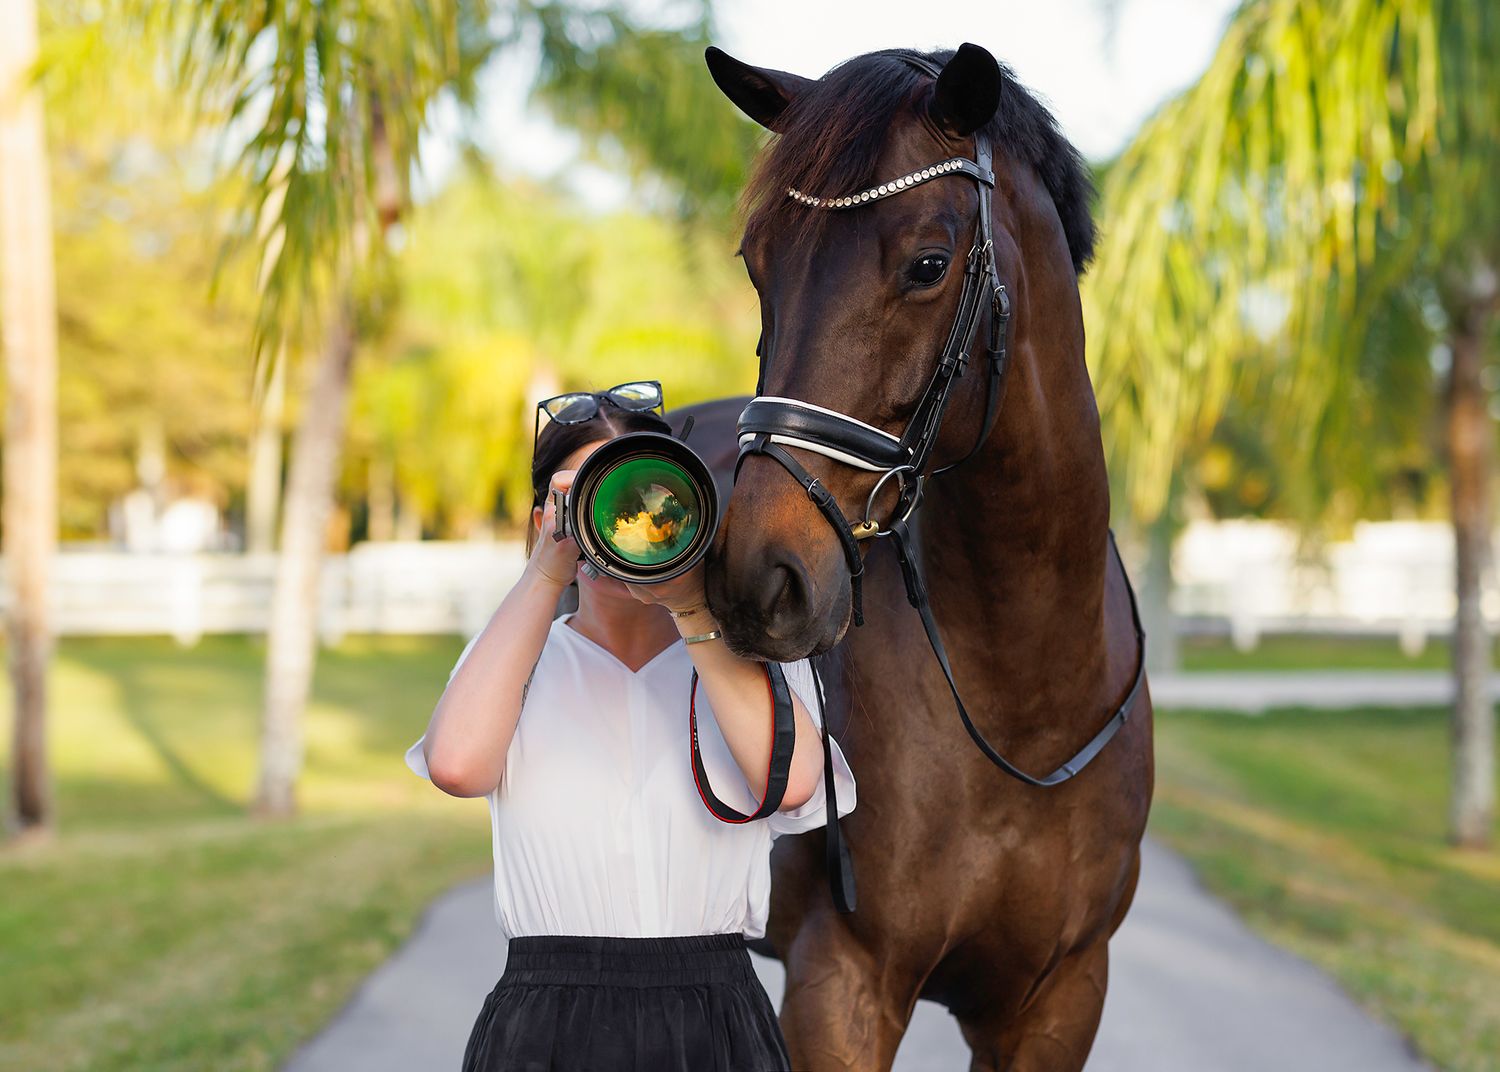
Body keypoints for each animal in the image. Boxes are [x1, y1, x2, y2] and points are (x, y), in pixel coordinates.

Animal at [684, 43, 1155, 1071]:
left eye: (929, 264)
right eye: (759, 263)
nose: (759, 578)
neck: (1024, 708)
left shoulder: (1057, 1002)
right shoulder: (844, 989)